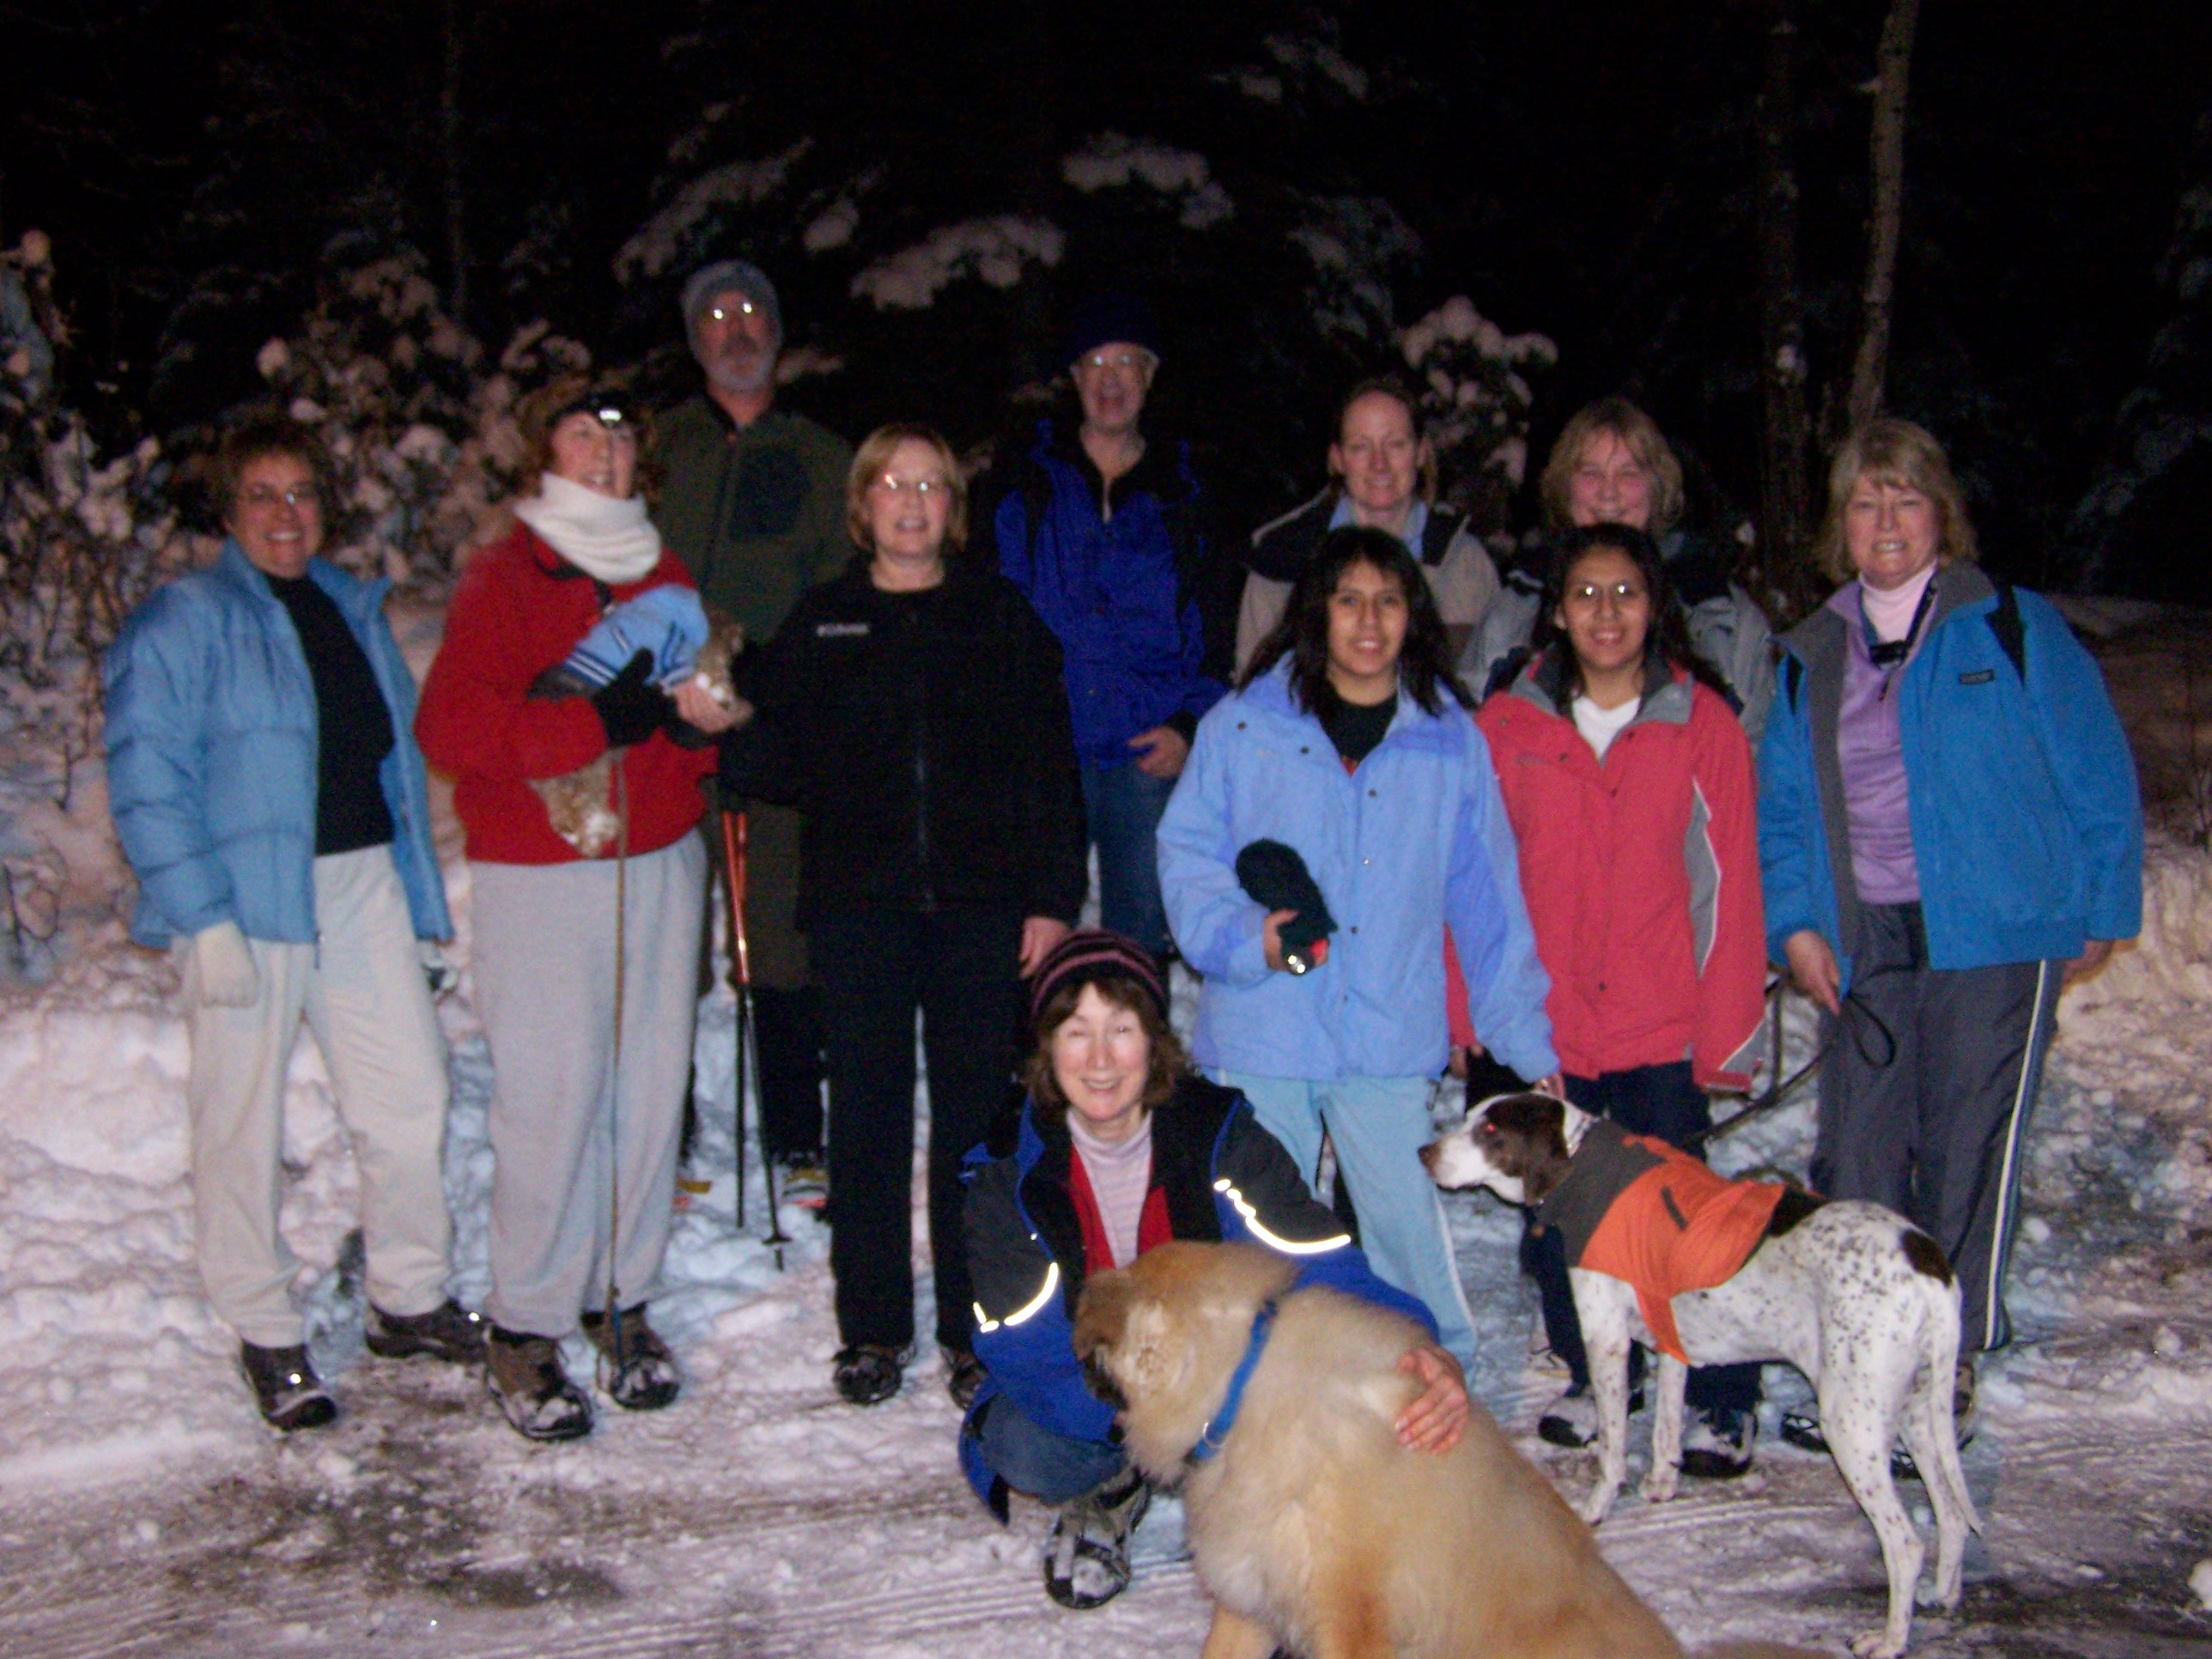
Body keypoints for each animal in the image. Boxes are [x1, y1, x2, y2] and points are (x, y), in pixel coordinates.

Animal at [1422, 1093, 1981, 1659]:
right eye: (1470, 1117)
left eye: (1490, 1130)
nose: (1424, 1152)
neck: (1582, 1162)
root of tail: (1928, 1264)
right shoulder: (1670, 1346)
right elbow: (1666, 1428)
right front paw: (1661, 1487)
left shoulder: (1607, 1343)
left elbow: (1612, 1449)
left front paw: (1597, 1509)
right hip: (1915, 1414)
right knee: (1952, 1513)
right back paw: (1943, 1593)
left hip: (1851, 1423)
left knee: (1906, 1545)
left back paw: (1890, 1639)